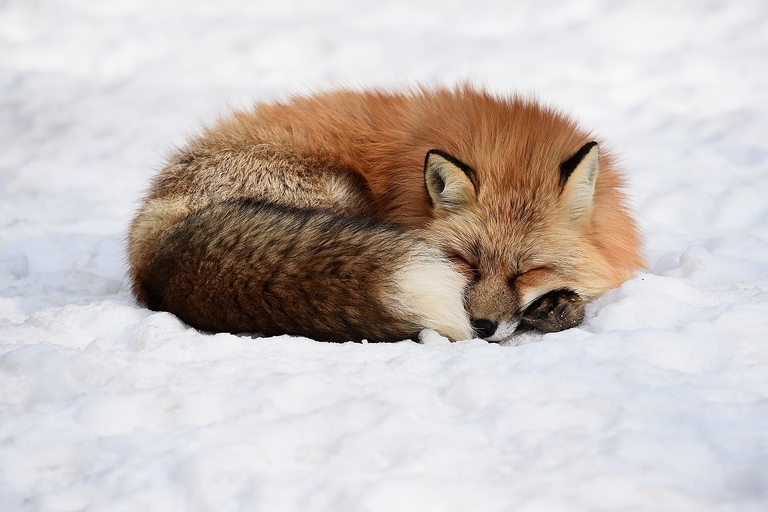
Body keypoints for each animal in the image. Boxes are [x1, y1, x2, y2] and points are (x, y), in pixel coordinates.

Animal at [127, 85, 644, 343]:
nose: (480, 327)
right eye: (466, 263)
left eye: (528, 271)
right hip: (341, 195)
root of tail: (150, 250)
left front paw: (556, 306)